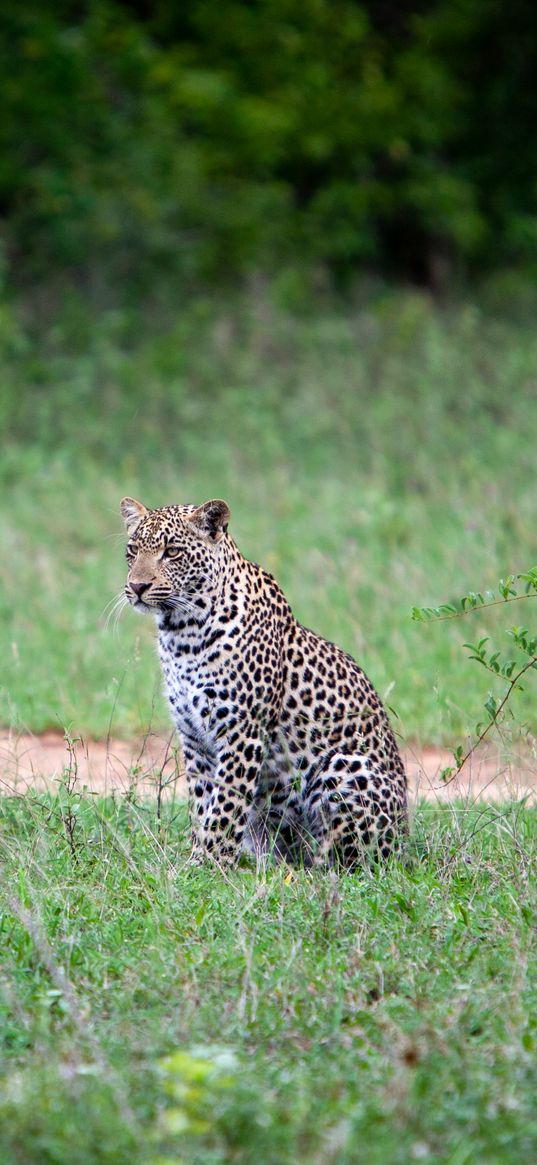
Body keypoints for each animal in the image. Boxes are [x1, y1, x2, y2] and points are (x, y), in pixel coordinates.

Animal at [120, 496, 405, 871]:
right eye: (132, 551)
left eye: (172, 552)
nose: (137, 587)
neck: (182, 633)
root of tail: (406, 842)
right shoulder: (194, 738)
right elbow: (202, 805)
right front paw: (199, 858)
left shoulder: (242, 732)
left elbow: (225, 806)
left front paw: (209, 864)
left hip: (345, 766)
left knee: (354, 861)